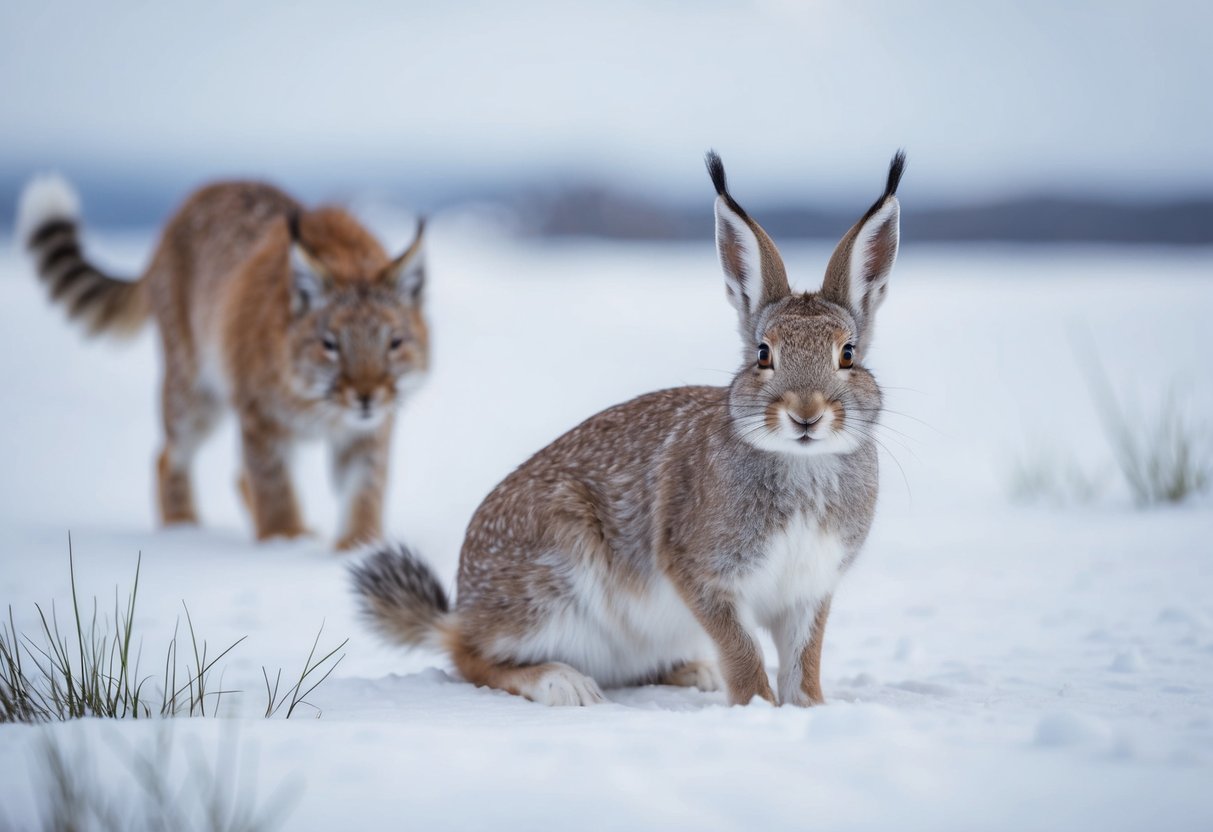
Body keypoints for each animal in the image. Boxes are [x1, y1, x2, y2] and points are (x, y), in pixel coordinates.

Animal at [353, 150, 905, 706]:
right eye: (763, 354)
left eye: (848, 354)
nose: (806, 414)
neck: (802, 460)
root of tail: (462, 608)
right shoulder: (702, 574)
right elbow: (744, 652)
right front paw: (757, 707)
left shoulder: (808, 590)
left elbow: (802, 660)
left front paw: (808, 707)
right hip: (554, 580)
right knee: (469, 655)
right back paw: (563, 683)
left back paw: (694, 673)